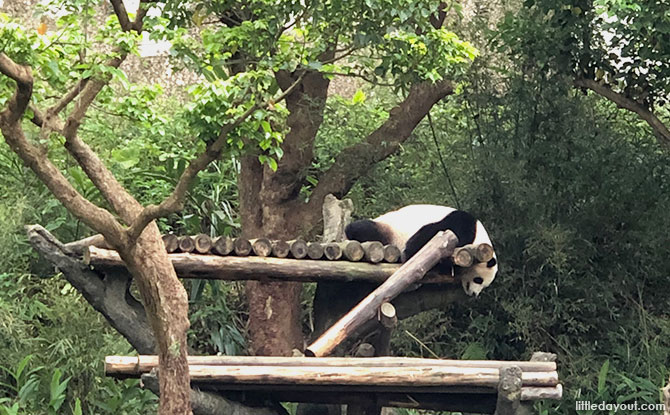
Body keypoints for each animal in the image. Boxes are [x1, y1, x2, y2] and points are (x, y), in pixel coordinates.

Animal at [346, 204, 498, 296]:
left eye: (484, 286)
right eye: (479, 280)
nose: (474, 294)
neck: (478, 236)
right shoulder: (461, 225)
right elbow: (431, 235)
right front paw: (409, 255)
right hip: (388, 229)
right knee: (363, 229)